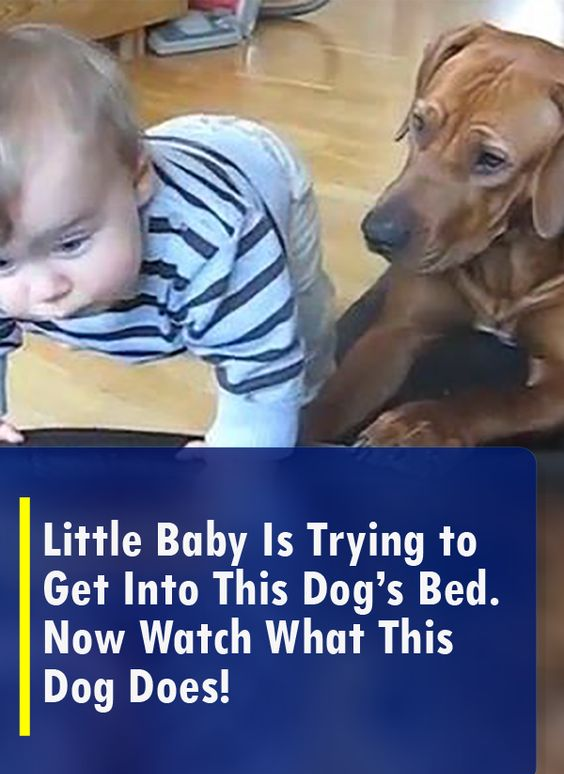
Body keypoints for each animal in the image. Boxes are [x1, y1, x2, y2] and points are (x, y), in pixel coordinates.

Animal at [308, 22, 564, 448]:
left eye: (491, 160)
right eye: (419, 122)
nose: (378, 233)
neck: (507, 252)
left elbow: (492, 400)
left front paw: (413, 425)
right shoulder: (395, 332)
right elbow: (329, 401)